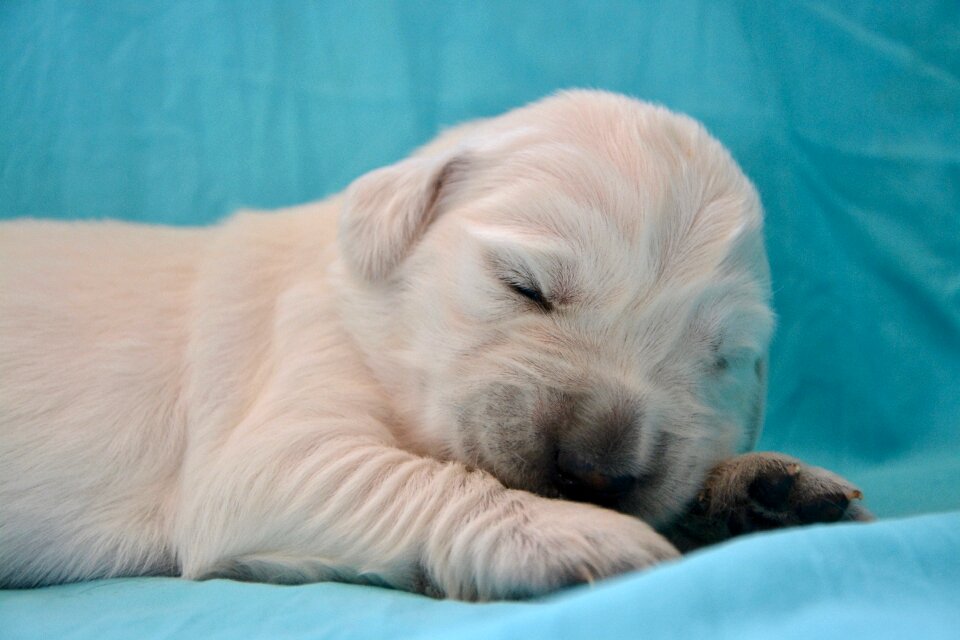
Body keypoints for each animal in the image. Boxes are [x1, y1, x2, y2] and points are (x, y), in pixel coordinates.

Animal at [0, 90, 868, 600]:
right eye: (525, 286)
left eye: (720, 359)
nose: (593, 474)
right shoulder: (277, 434)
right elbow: (422, 478)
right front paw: (577, 530)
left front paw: (764, 489)